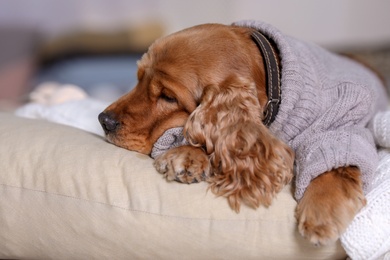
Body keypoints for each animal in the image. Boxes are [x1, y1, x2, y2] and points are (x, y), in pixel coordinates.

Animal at [98, 20, 386, 246]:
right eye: (138, 79)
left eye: (168, 97)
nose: (103, 120)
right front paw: (186, 155)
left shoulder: (346, 124)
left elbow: (336, 166)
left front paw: (321, 213)